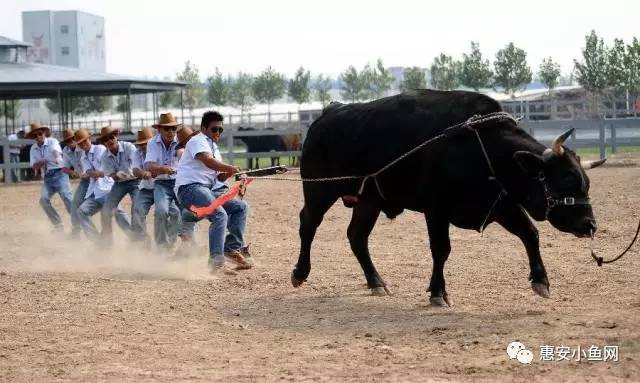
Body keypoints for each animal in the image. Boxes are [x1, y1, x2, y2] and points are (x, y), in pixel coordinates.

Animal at [292, 89, 604, 306]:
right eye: (566, 181)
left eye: (586, 183)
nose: (589, 224)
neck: (482, 149)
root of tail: (328, 113)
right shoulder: (436, 210)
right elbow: (441, 250)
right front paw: (438, 292)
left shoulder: (502, 205)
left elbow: (530, 234)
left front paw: (541, 281)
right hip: (318, 191)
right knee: (308, 225)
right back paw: (300, 272)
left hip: (368, 201)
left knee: (357, 236)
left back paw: (376, 282)